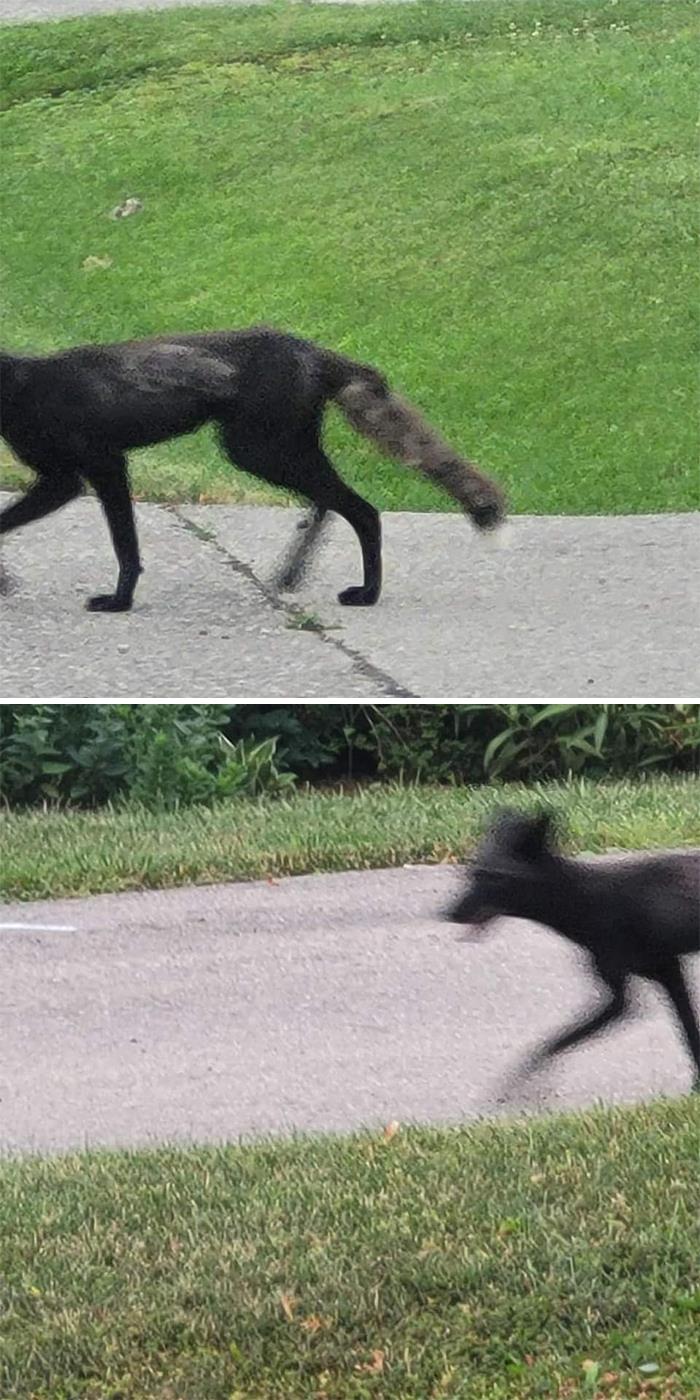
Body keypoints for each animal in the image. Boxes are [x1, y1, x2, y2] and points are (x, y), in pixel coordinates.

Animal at [0, 326, 506, 612]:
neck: (18, 388)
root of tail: (315, 351)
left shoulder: (89, 469)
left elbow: (124, 545)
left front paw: (119, 603)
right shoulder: (80, 474)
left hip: (256, 451)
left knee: (362, 510)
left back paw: (366, 594)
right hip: (277, 450)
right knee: (331, 504)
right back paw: (292, 575)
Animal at [446, 808, 700, 1091]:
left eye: (494, 877)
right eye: (471, 873)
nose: (447, 913)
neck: (583, 900)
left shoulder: (622, 999)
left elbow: (554, 1042)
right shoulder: (666, 970)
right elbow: (688, 1028)